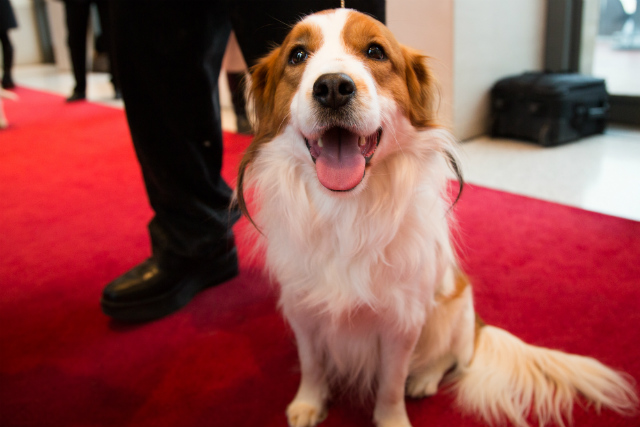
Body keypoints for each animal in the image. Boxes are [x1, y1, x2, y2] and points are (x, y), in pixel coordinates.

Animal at [234, 7, 636, 427]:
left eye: (375, 52)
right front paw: (310, 403)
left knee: (451, 359)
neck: (346, 208)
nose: (331, 87)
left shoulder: (403, 323)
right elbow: (312, 365)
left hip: (451, 313)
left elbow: (391, 383)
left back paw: (425, 378)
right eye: (297, 56)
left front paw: (392, 419)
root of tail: (477, 327)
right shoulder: (304, 311)